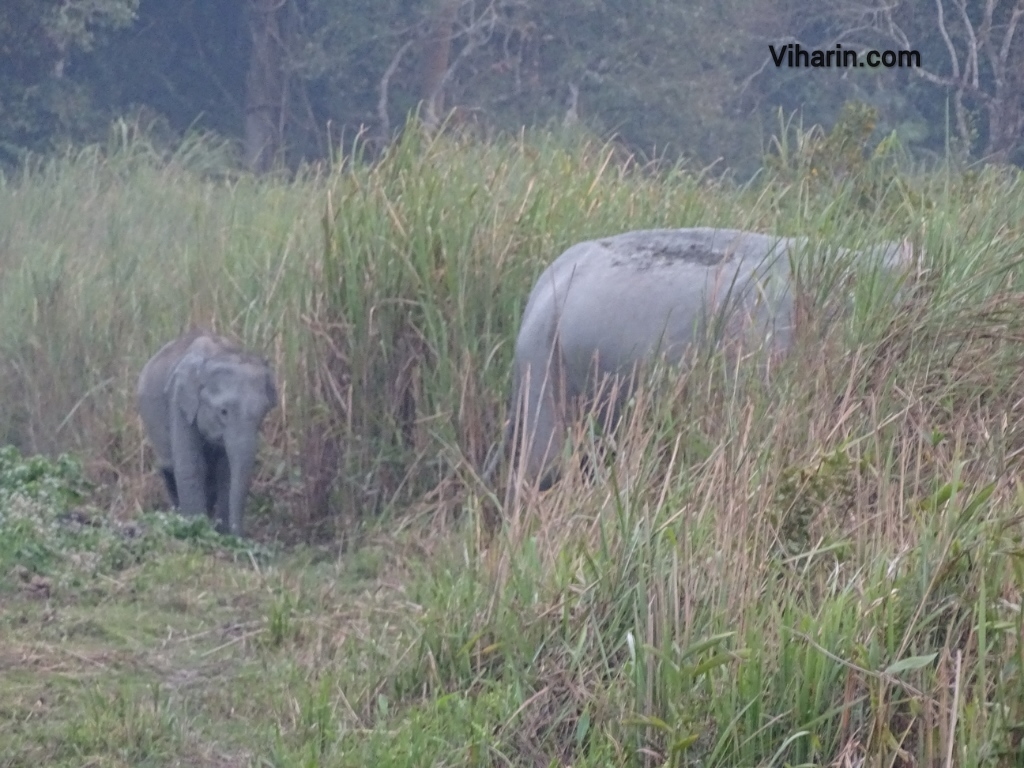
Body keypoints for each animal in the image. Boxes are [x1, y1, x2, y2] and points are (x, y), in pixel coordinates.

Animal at [139, 329, 280, 536]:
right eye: (223, 411)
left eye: (263, 413)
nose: (241, 538)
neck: (219, 354)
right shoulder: (179, 403)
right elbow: (192, 466)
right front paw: (195, 527)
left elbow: (226, 471)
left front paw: (221, 533)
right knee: (168, 468)